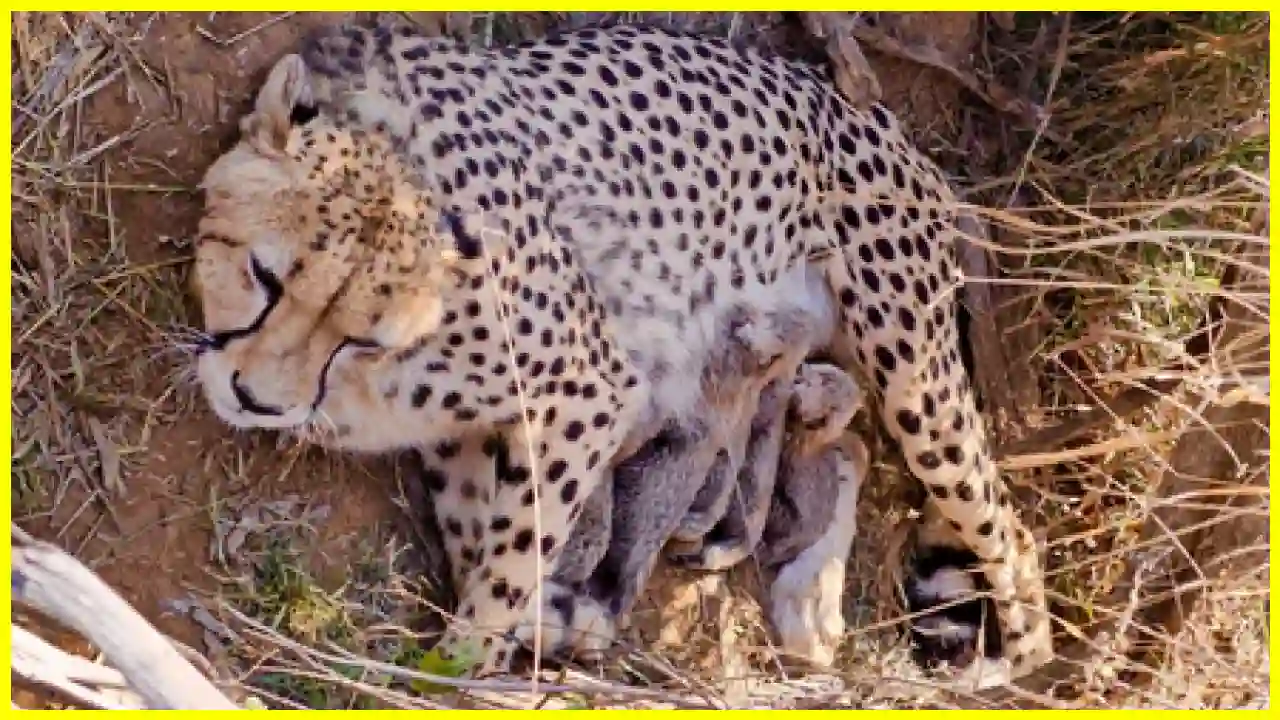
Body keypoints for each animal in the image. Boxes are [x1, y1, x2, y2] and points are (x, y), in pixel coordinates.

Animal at [190, 20, 1053, 683]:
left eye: (360, 335)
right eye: (262, 275)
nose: (256, 398)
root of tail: (871, 112)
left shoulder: (590, 390)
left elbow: (513, 555)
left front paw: (465, 665)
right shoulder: (464, 433)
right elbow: (481, 538)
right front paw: (542, 624)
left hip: (915, 376)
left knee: (1010, 530)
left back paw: (1004, 664)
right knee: (850, 449)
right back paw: (810, 605)